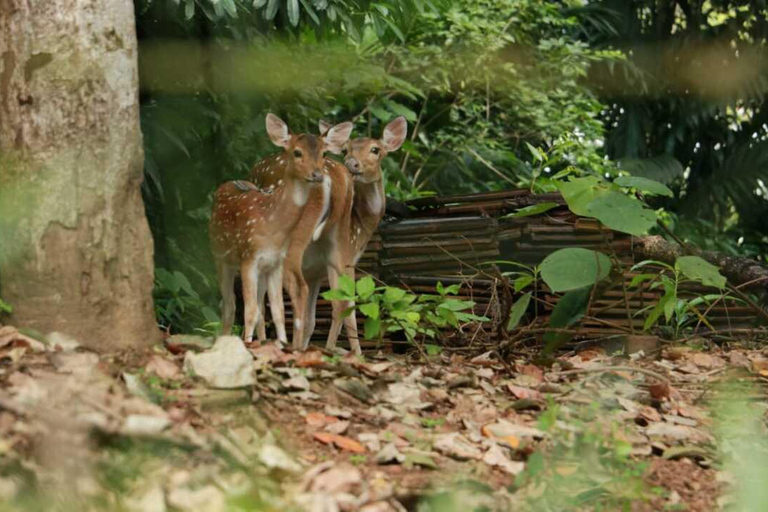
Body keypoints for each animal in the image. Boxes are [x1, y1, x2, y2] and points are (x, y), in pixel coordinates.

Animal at [209, 114, 353, 346]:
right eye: (297, 152)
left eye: (323, 153)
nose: (316, 174)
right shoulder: (251, 259)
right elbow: (258, 309)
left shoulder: (267, 261)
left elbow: (268, 309)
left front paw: (269, 343)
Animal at [250, 116, 407, 355]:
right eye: (346, 150)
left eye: (375, 149)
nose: (352, 163)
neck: (360, 227)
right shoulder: (324, 266)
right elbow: (314, 317)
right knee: (341, 302)